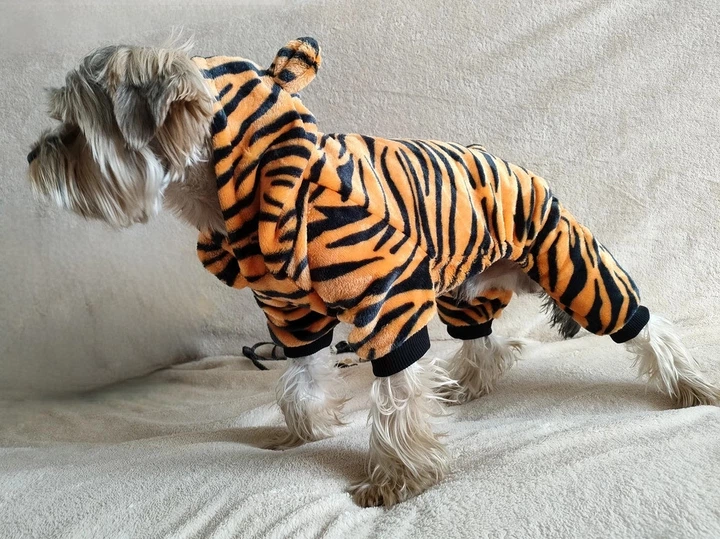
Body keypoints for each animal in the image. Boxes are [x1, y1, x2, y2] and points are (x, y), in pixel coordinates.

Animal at [194, 36, 649, 378]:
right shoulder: (291, 312)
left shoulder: (385, 284)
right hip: (469, 293)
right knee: (481, 343)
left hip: (565, 253)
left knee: (631, 317)